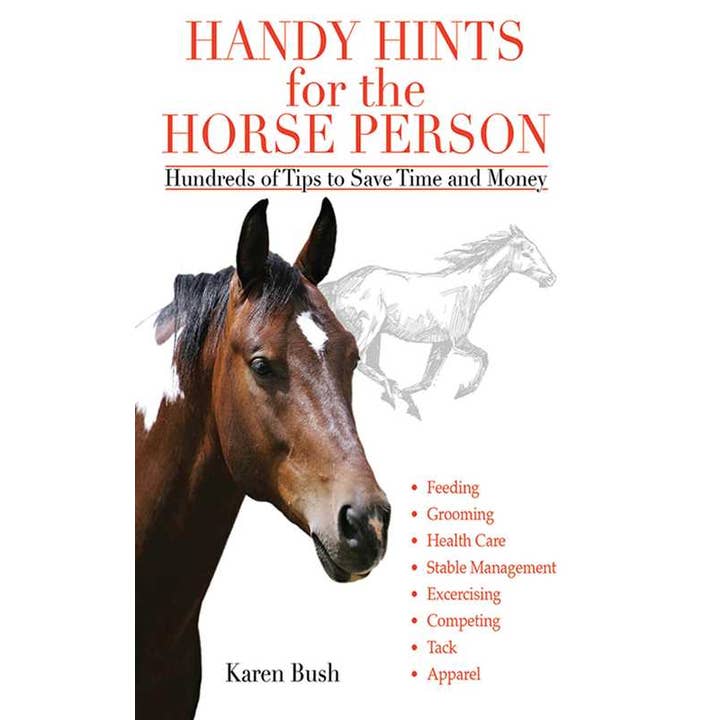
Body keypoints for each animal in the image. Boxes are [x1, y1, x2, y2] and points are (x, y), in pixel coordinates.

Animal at [321, 225, 556, 418]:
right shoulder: (458, 340)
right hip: (369, 326)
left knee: (371, 364)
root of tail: (338, 286)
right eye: (527, 251)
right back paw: (389, 391)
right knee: (359, 362)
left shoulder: (442, 343)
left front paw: (409, 400)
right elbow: (484, 356)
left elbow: (427, 379)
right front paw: (463, 390)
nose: (551, 278)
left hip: (377, 335)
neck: (470, 288)